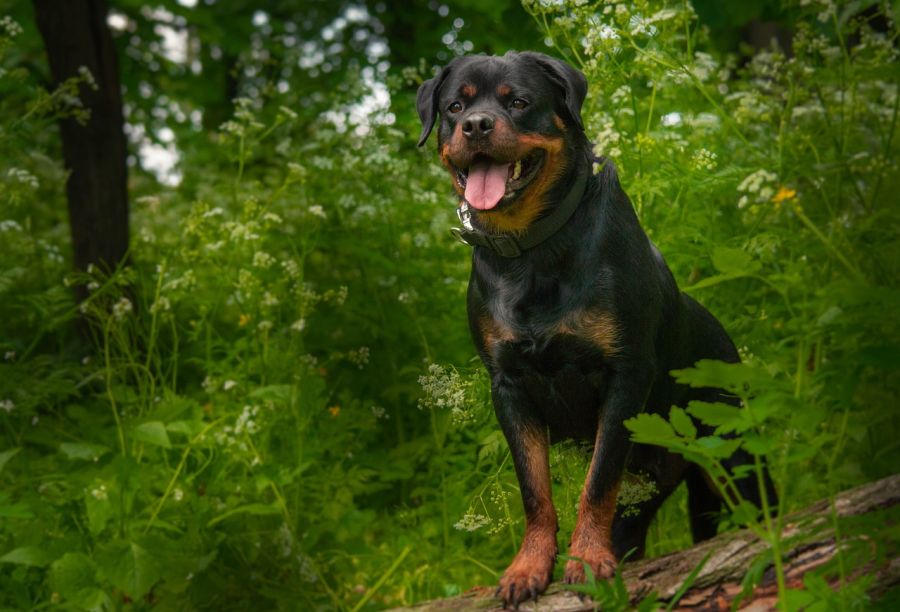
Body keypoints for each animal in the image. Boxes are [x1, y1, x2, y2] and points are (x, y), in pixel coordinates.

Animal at [414, 52, 772, 608]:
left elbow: (598, 481)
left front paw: (584, 560)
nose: (476, 125)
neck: (533, 248)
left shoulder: (624, 374)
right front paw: (528, 567)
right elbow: (535, 490)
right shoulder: (509, 385)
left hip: (734, 450)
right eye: (455, 107)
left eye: (519, 102)